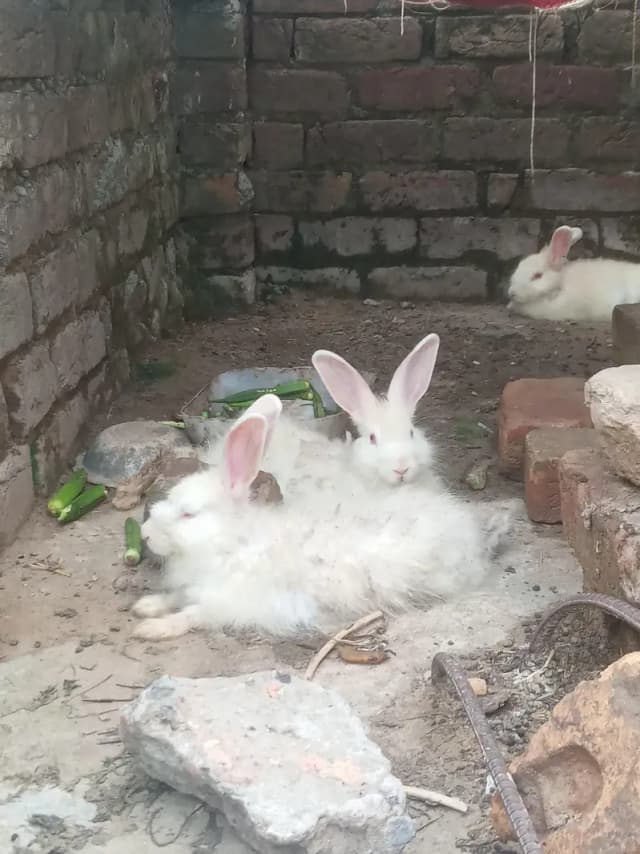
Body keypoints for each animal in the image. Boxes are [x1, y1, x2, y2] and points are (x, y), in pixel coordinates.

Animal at [132, 393, 514, 642]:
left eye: (188, 513)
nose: (146, 534)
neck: (231, 542)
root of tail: (466, 527)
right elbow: (175, 597)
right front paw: (146, 606)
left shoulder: (233, 602)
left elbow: (193, 614)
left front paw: (152, 629)